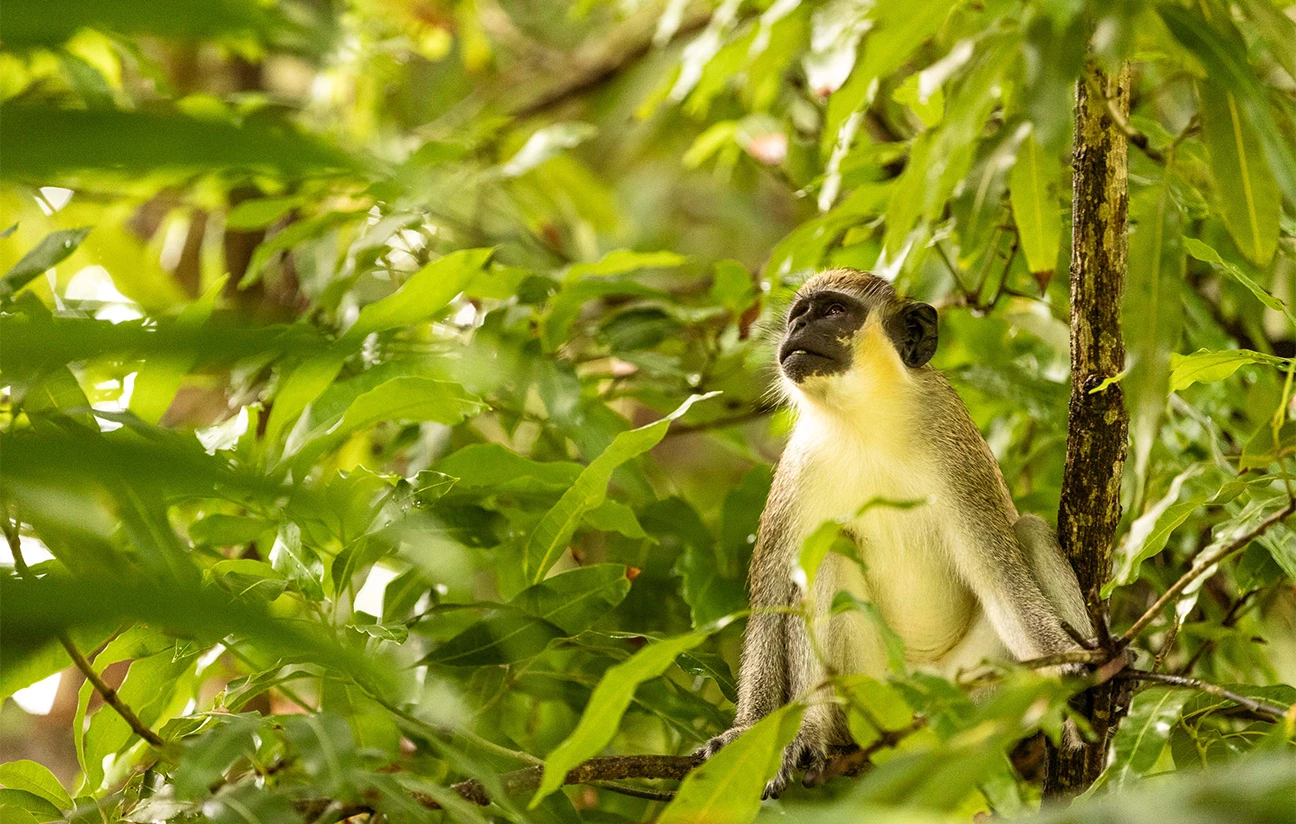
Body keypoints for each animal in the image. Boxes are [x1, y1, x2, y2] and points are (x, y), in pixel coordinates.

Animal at [699, 268, 1092, 798]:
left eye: (833, 311)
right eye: (799, 314)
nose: (796, 329)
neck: (864, 418)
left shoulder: (954, 446)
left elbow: (1000, 576)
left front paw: (1072, 667)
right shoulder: (796, 472)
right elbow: (771, 601)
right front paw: (745, 731)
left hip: (976, 691)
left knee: (1027, 531)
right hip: (874, 694)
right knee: (828, 554)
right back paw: (811, 735)